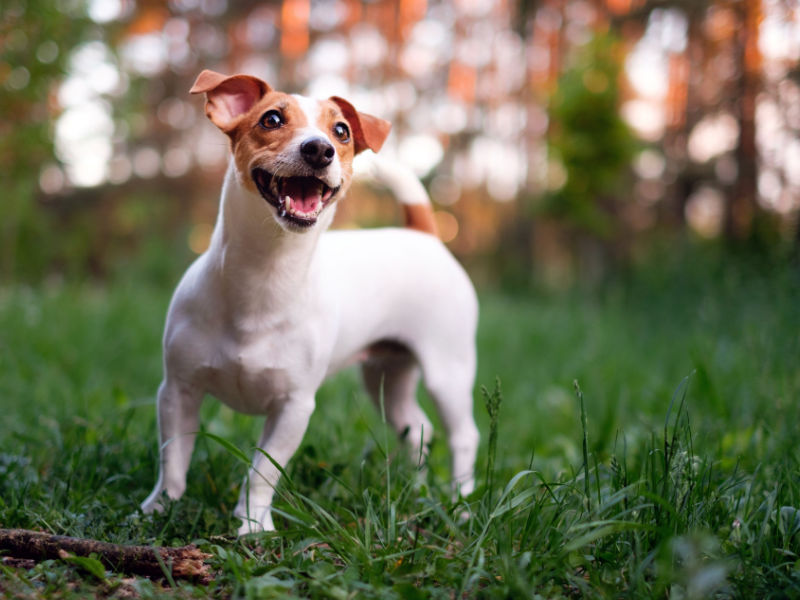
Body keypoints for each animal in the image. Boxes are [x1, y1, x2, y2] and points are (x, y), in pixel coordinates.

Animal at [140, 70, 478, 536]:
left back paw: (460, 503)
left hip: (448, 371)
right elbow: (173, 457)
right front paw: (161, 507)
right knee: (417, 428)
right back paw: (415, 486)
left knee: (464, 435)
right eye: (271, 119)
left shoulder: (294, 407)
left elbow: (262, 472)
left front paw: (253, 525)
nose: (319, 149)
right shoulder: (178, 391)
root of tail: (423, 233)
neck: (264, 275)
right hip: (386, 377)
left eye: (342, 131)